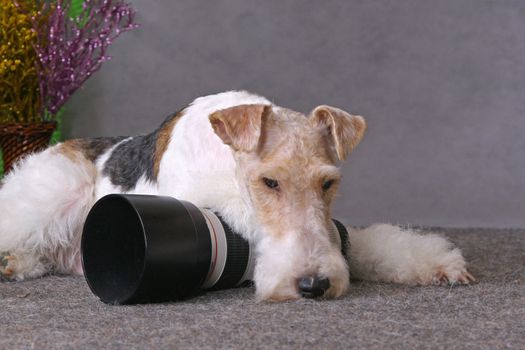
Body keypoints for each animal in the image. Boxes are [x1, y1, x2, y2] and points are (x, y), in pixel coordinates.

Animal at [0, 91, 472, 300]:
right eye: (269, 183)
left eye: (328, 183)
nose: (315, 284)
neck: (224, 160)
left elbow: (356, 239)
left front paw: (439, 264)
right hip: (57, 186)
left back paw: (18, 264)